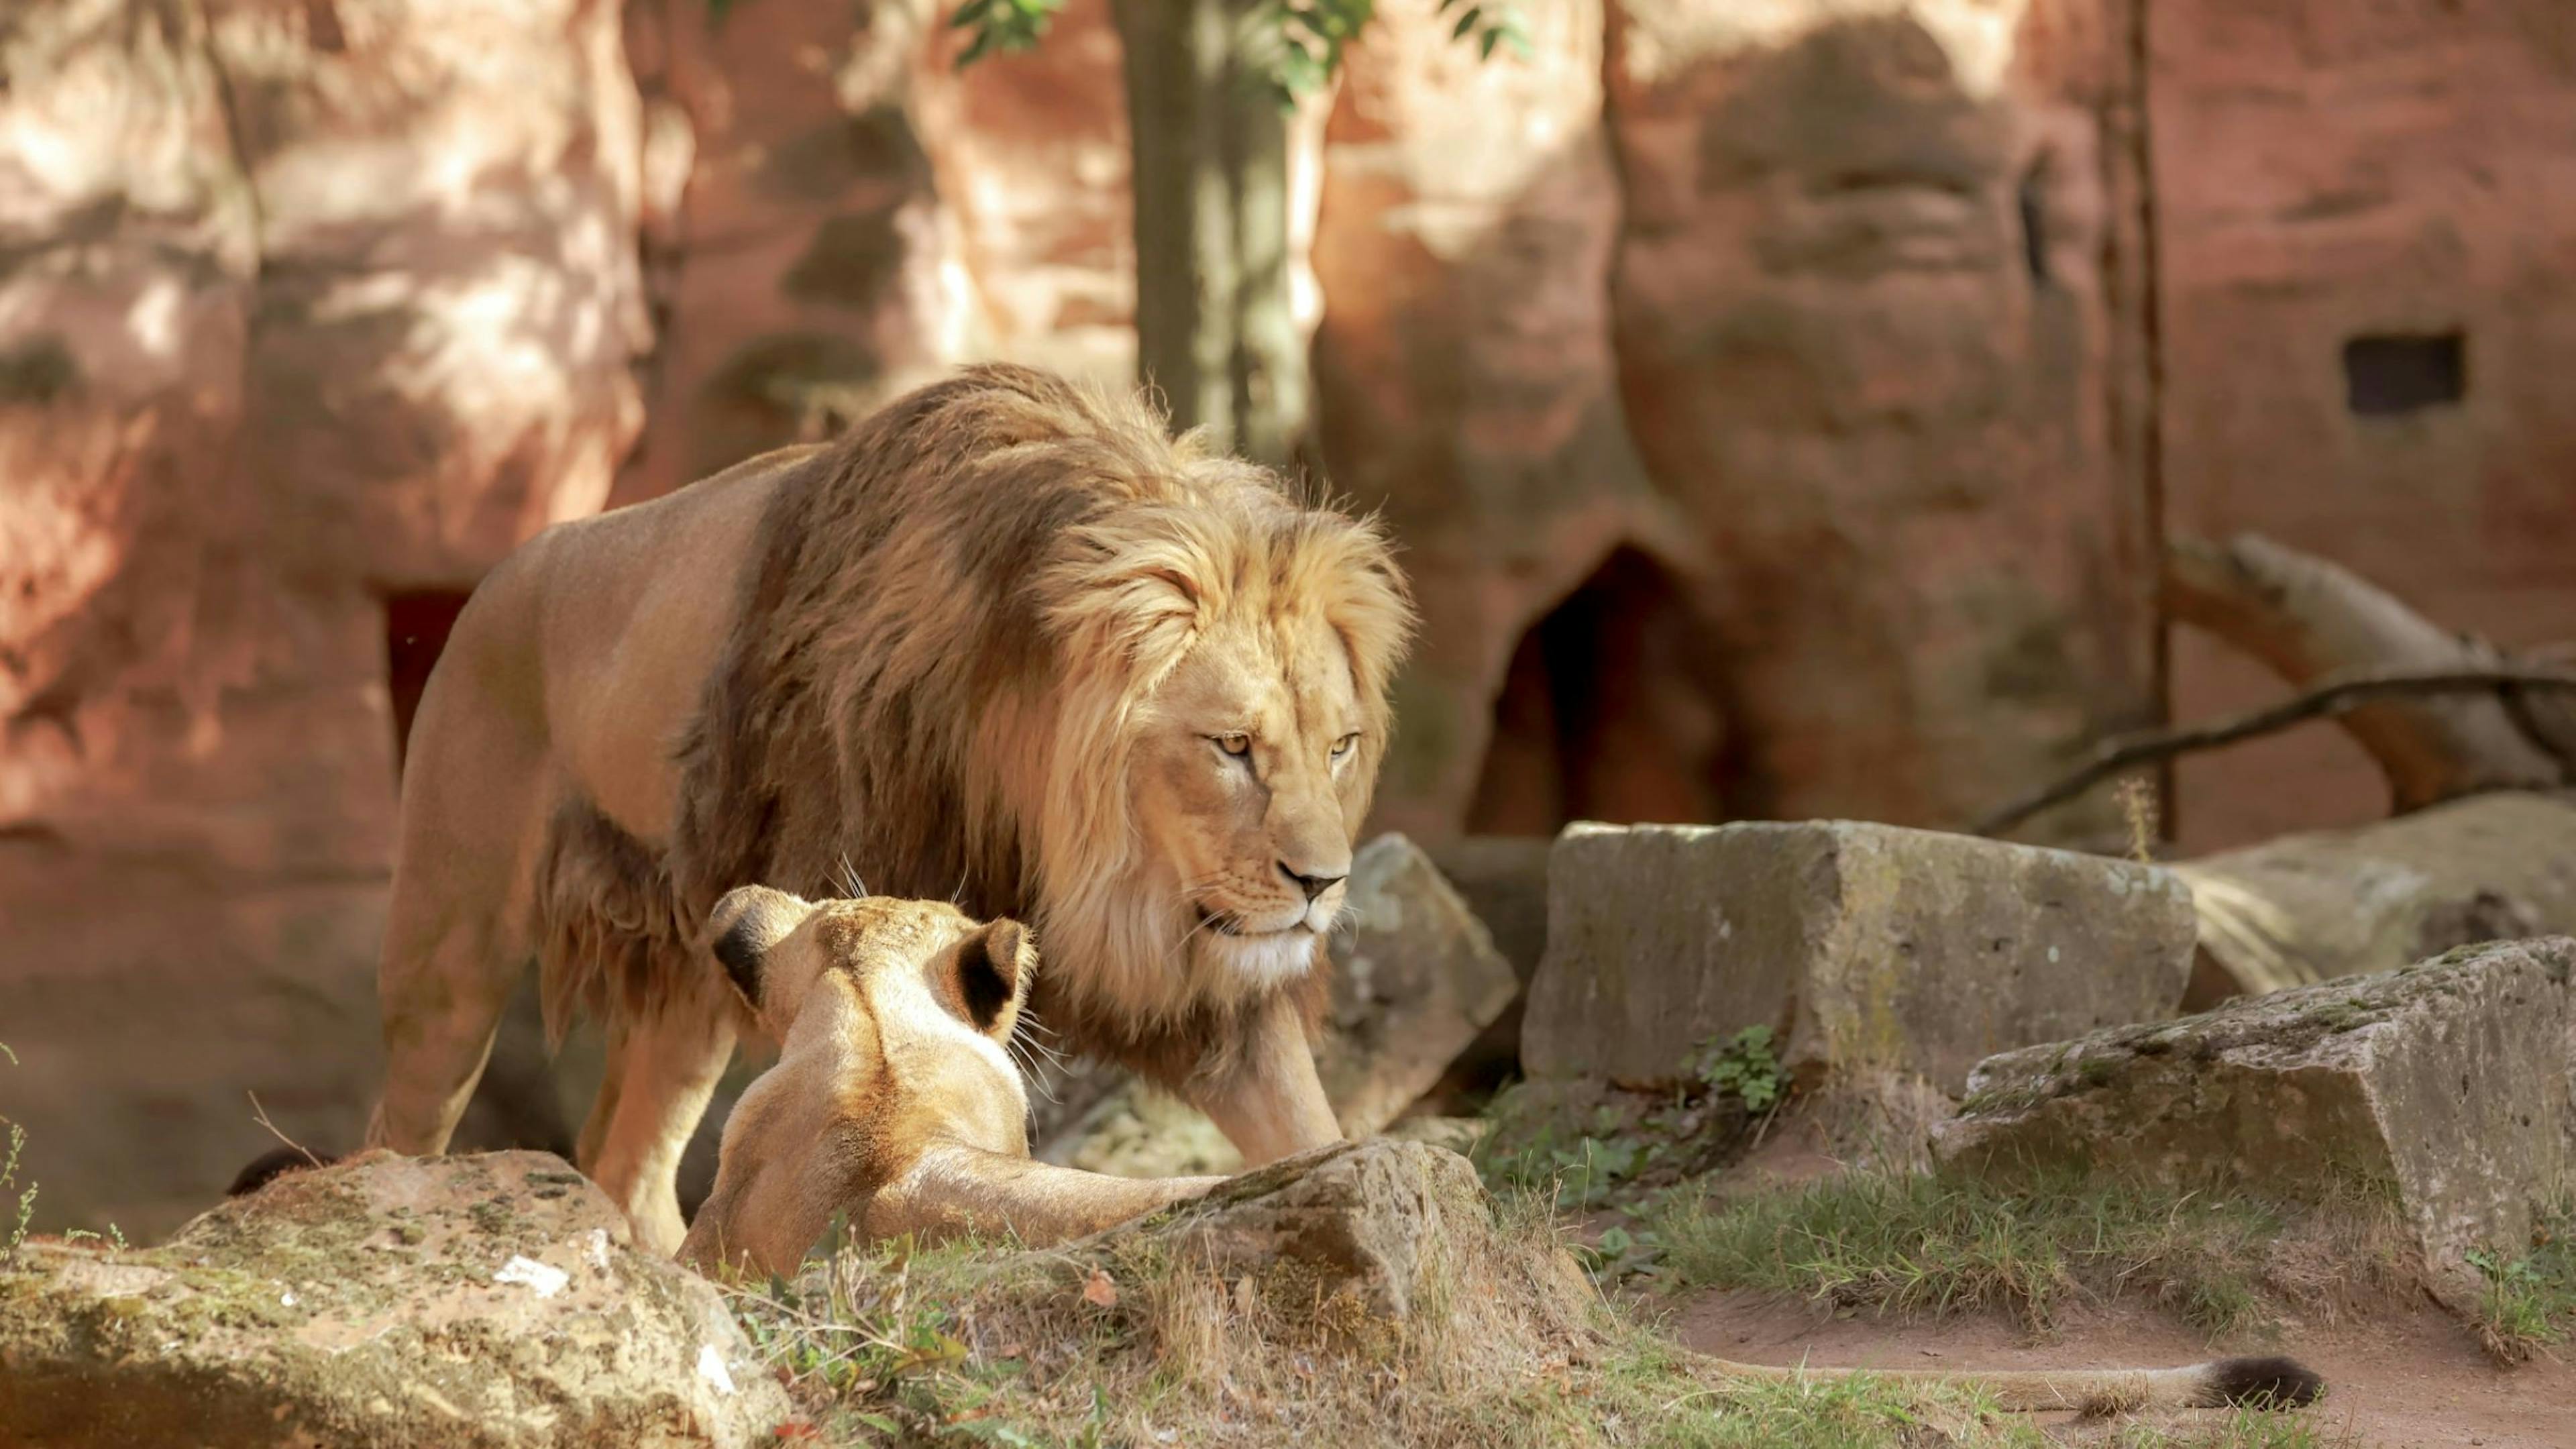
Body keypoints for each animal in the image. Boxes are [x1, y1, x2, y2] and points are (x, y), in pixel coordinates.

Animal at [364, 363, 1413, 1252]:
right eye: (1231, 746)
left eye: (1339, 747)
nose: (1323, 885)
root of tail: (503, 573)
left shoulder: (1220, 999)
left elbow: (1308, 1125)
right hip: (450, 948)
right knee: (401, 1121)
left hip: (701, 980)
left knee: (626, 1162)